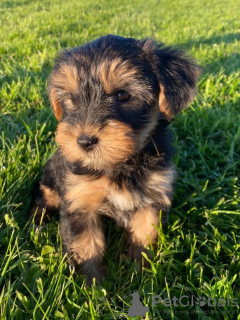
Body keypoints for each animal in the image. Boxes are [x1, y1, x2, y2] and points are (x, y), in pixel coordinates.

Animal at [31, 35, 201, 284]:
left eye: (122, 95)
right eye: (71, 99)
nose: (84, 141)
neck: (118, 164)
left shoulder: (152, 196)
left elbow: (145, 234)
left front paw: (140, 273)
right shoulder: (79, 200)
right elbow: (86, 246)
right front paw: (92, 285)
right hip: (52, 177)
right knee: (44, 196)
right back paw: (37, 222)